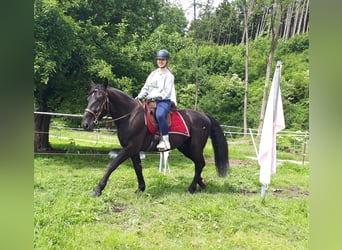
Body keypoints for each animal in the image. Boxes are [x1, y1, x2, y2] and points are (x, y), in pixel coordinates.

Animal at [81, 79, 228, 196]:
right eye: (88, 99)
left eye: (99, 99)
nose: (85, 124)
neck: (130, 116)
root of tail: (204, 116)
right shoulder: (133, 150)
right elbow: (138, 168)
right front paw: (140, 188)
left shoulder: (130, 148)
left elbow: (112, 165)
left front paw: (97, 189)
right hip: (186, 148)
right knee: (199, 163)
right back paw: (201, 183)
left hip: (195, 147)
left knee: (200, 163)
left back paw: (192, 188)